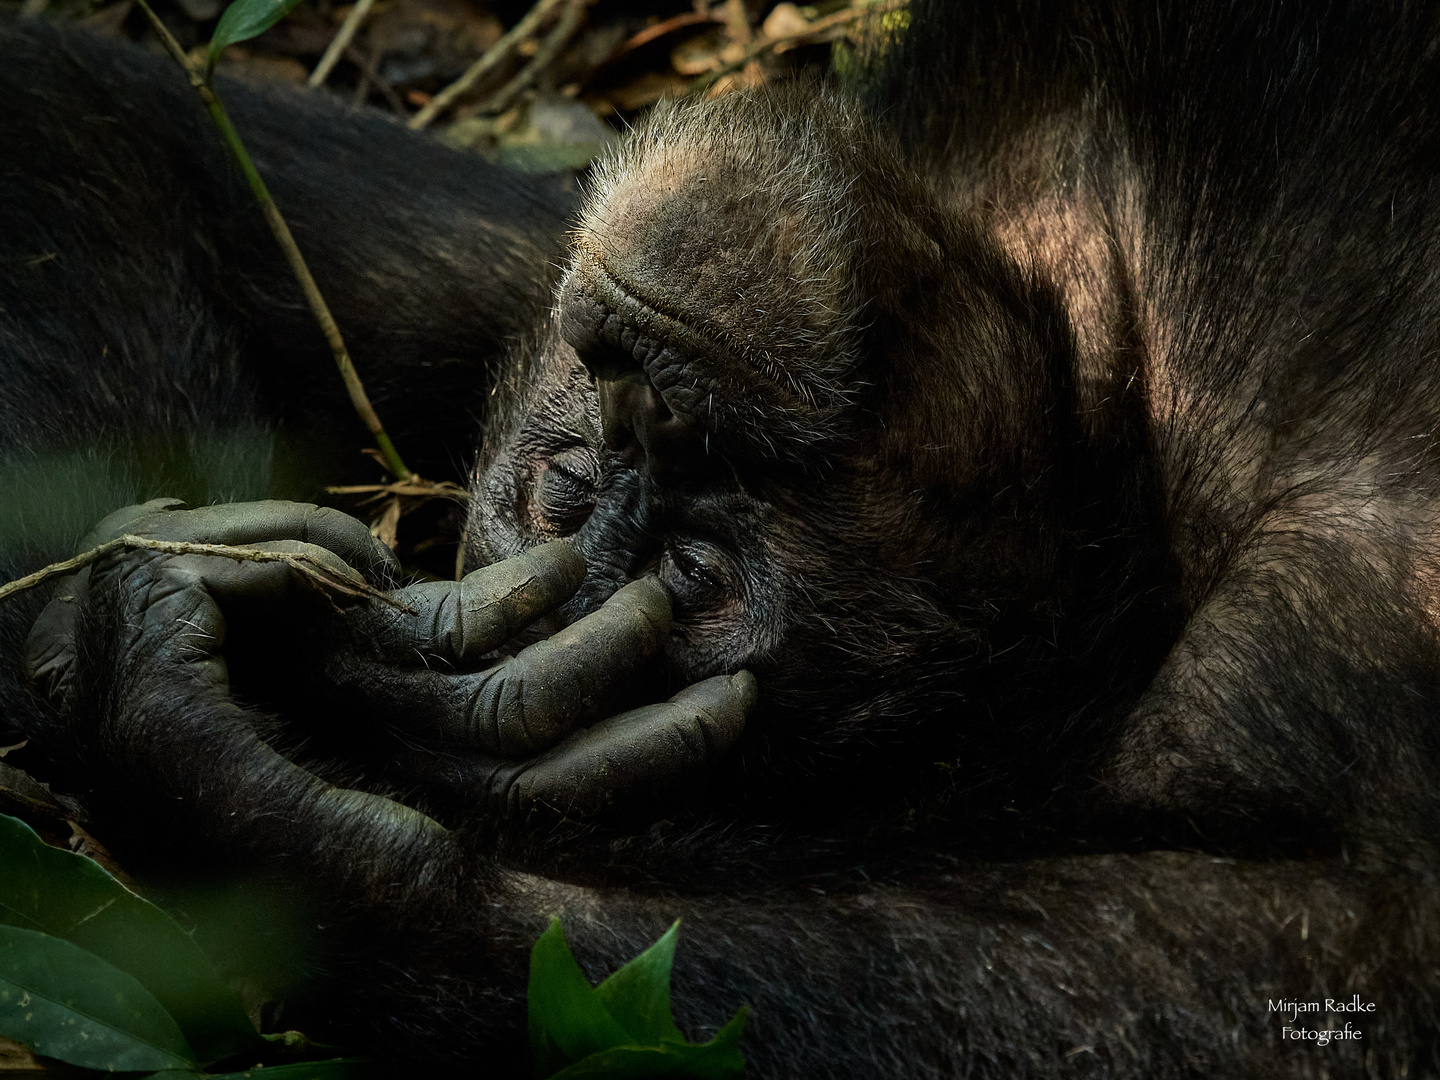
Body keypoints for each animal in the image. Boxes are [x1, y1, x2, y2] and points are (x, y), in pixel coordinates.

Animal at [2, 0, 1440, 1077]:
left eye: (691, 580)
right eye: (570, 487)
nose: (664, 396)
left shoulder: (1349, 601)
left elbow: (1278, 964)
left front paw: (247, 772)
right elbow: (101, 125)